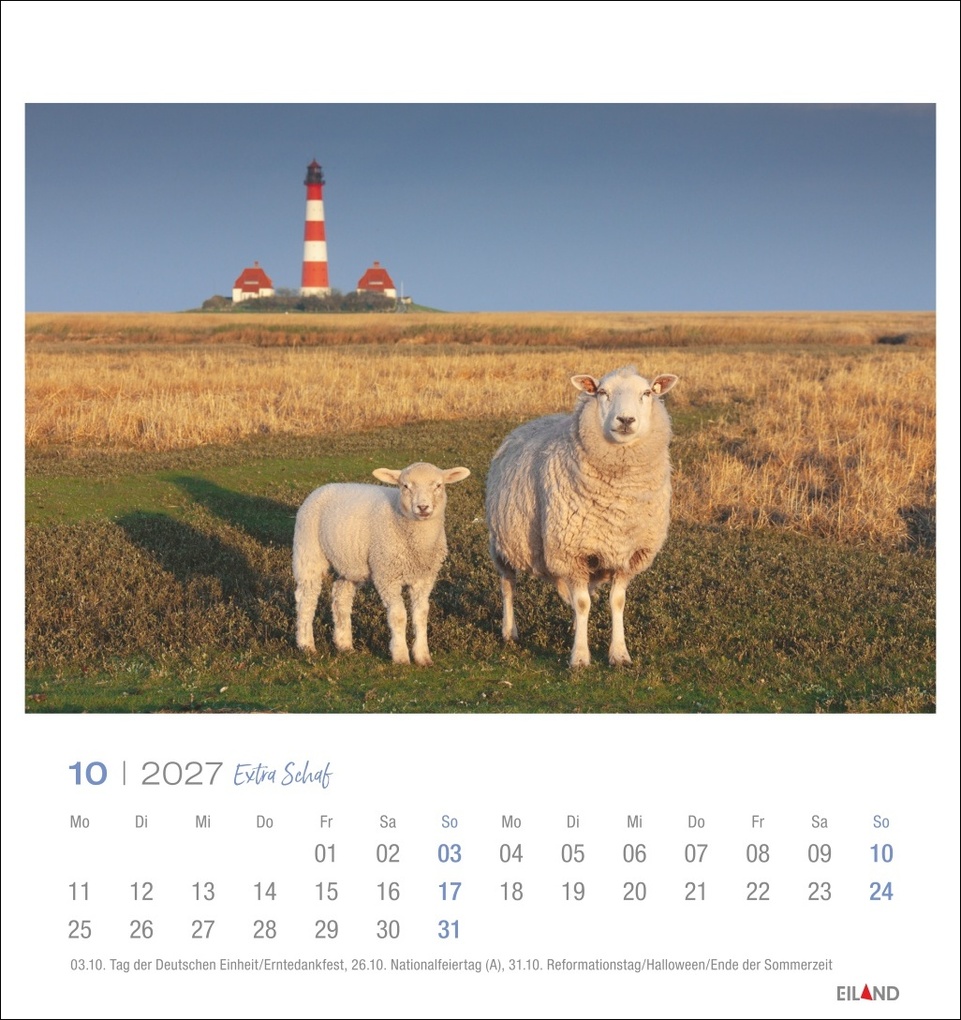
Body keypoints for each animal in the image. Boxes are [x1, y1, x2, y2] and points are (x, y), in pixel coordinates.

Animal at [293, 462, 471, 665]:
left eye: (438, 485)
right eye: (405, 486)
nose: (423, 507)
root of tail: (322, 488)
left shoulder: (424, 578)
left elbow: (421, 615)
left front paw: (422, 656)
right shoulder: (387, 576)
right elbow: (399, 615)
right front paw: (400, 656)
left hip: (350, 564)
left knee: (341, 596)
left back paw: (344, 644)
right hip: (308, 551)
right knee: (306, 598)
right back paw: (306, 645)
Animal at [485, 366, 678, 668]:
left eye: (647, 393)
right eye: (602, 392)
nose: (626, 420)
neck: (618, 497)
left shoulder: (627, 554)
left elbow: (615, 602)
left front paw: (619, 653)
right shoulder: (572, 552)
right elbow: (583, 603)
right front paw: (579, 656)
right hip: (503, 542)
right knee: (508, 585)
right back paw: (509, 631)